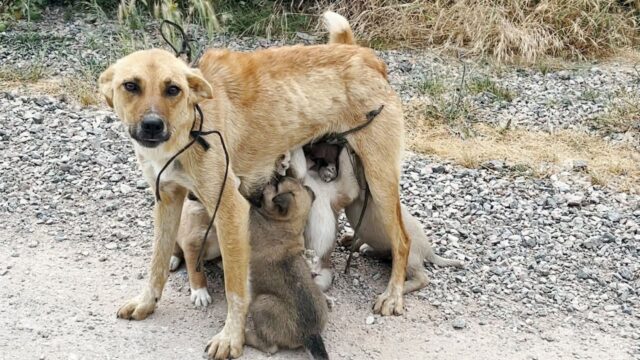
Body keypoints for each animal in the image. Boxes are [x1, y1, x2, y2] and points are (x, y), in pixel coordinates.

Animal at [244, 178, 328, 360]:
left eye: (275, 186)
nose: (274, 177)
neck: (285, 224)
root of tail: (310, 334)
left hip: (261, 303)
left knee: (270, 347)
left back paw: (246, 336)